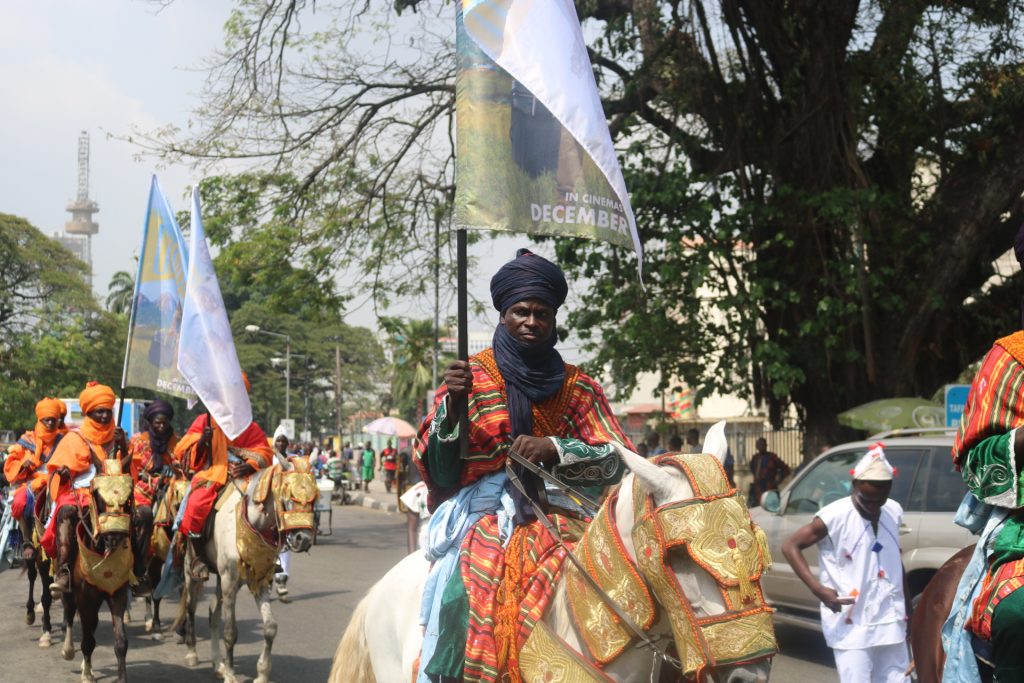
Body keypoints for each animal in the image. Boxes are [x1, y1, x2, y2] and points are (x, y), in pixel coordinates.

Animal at [172, 466, 315, 683]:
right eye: (289, 495)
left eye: (314, 498)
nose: (303, 539)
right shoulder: (230, 582)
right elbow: (231, 632)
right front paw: (231, 675)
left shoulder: (259, 580)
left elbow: (270, 627)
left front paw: (262, 674)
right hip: (191, 568)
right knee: (191, 606)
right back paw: (192, 654)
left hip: (220, 578)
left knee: (213, 611)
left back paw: (217, 664)